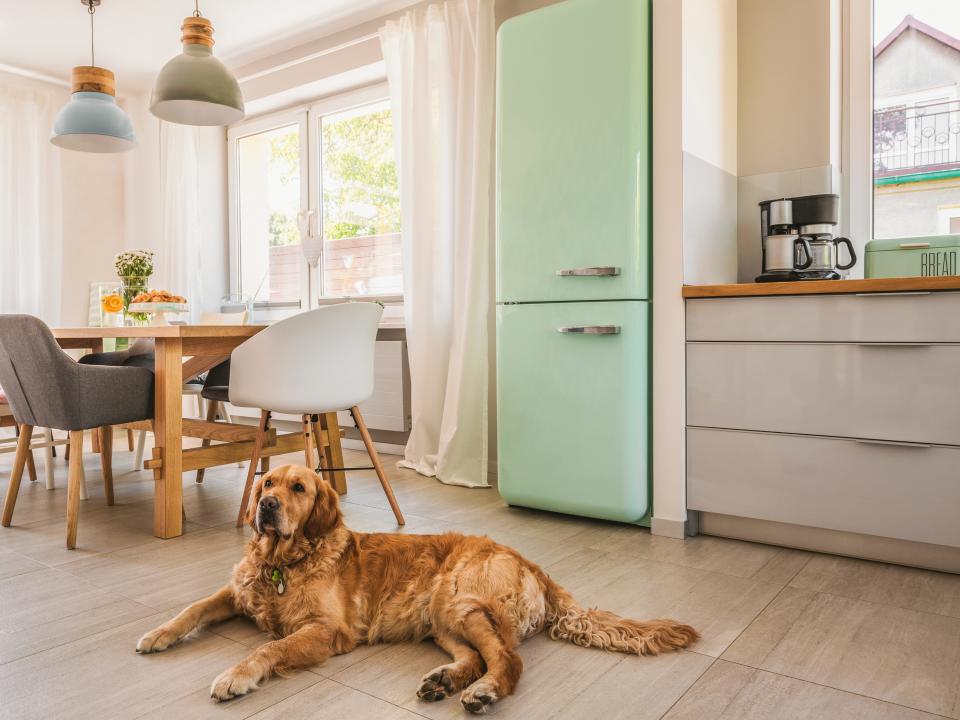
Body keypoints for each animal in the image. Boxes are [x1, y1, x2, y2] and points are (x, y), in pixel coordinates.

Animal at [135, 466, 696, 716]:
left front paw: (235, 676)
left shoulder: (327, 631)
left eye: (299, 488)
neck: (283, 563)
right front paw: (157, 635)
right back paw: (444, 681)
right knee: (475, 656)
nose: (267, 507)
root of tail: (530, 562)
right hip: (443, 619)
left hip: (460, 599)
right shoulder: (236, 593)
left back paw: (483, 692)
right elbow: (191, 609)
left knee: (507, 660)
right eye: (268, 482)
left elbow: (269, 648)